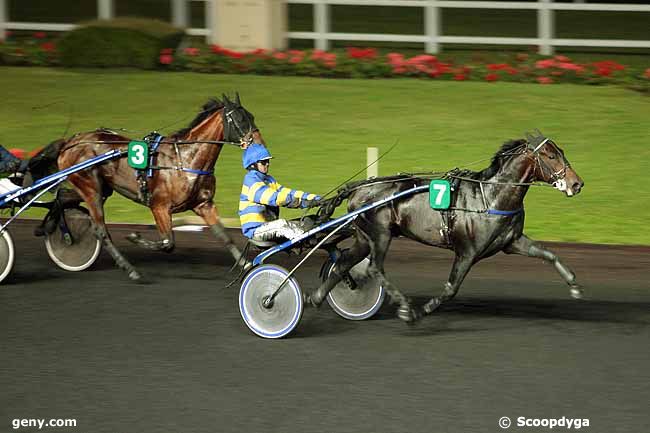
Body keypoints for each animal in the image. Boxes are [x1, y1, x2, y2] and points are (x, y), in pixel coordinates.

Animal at [52, 94, 260, 280]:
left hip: (100, 189)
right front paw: (134, 237)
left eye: (252, 116)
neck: (184, 160)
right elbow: (168, 243)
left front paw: (246, 264)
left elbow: (224, 235)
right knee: (100, 230)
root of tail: (70, 143)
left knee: (62, 198)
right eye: (240, 119)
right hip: (91, 188)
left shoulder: (204, 204)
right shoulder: (159, 206)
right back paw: (130, 269)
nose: (259, 142)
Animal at [306, 130, 584, 322]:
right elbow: (451, 288)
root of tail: (357, 188)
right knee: (374, 268)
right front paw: (418, 312)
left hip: (365, 237)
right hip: (381, 234)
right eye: (551, 156)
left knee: (343, 263)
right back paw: (404, 306)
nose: (577, 184)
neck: (491, 196)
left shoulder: (512, 242)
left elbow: (549, 254)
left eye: (561, 151)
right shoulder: (467, 252)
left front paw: (575, 286)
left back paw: (316, 297)